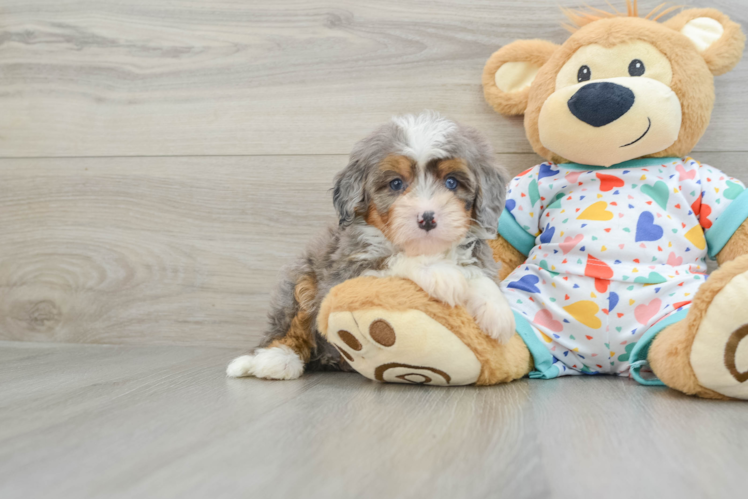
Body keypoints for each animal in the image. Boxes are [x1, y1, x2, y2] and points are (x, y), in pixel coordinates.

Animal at [226, 111, 516, 380]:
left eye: (451, 182)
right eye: (396, 183)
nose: (427, 218)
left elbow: (478, 273)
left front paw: (497, 310)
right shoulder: (344, 274)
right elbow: (392, 259)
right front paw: (441, 274)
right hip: (300, 280)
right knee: (287, 324)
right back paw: (276, 359)